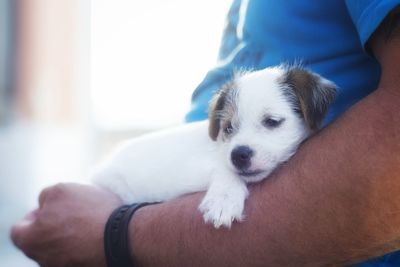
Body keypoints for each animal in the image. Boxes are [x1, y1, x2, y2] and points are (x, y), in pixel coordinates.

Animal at [92, 66, 336, 229]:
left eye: (272, 121)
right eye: (228, 128)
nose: (238, 155)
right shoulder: (187, 174)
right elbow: (223, 170)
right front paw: (224, 199)